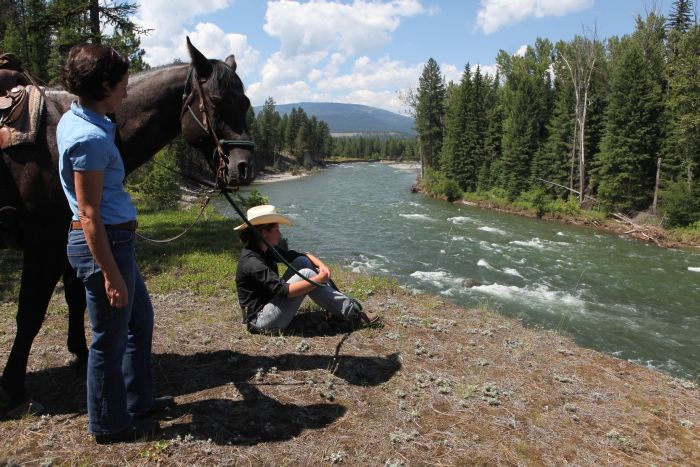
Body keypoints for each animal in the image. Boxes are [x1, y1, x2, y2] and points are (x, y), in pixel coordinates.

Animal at [0, 38, 258, 414]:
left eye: (247, 103)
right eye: (215, 101)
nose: (245, 168)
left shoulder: (69, 239)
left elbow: (77, 299)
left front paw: (80, 355)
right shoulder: (43, 243)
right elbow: (30, 314)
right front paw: (14, 390)